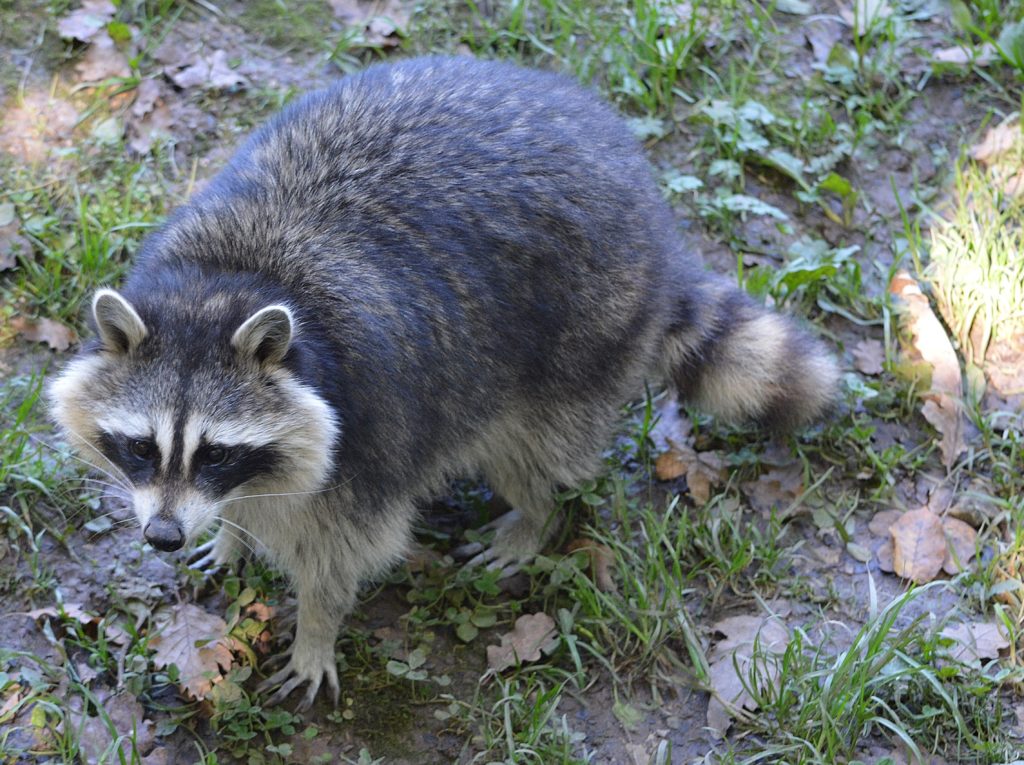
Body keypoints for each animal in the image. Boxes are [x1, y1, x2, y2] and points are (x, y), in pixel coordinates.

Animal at [48, 56, 835, 708]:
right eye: (142, 446)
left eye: (214, 451)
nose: (163, 536)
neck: (224, 286)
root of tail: (651, 214)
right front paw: (236, 532)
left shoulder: (368, 426)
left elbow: (345, 548)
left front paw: (316, 629)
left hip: (582, 328)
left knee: (532, 447)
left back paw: (535, 513)